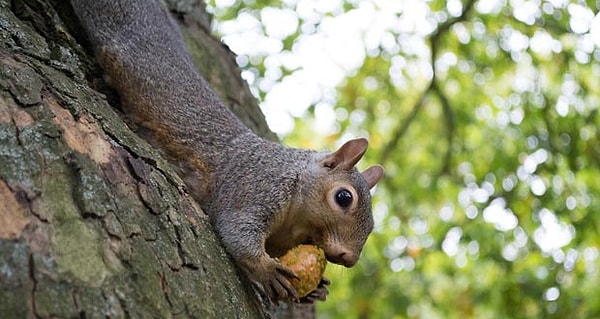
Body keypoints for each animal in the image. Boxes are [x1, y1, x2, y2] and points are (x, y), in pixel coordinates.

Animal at [69, 0, 380, 304]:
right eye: (343, 197)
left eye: (373, 224)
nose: (350, 258)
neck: (298, 216)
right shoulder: (254, 186)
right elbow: (236, 231)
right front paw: (266, 270)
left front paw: (317, 290)